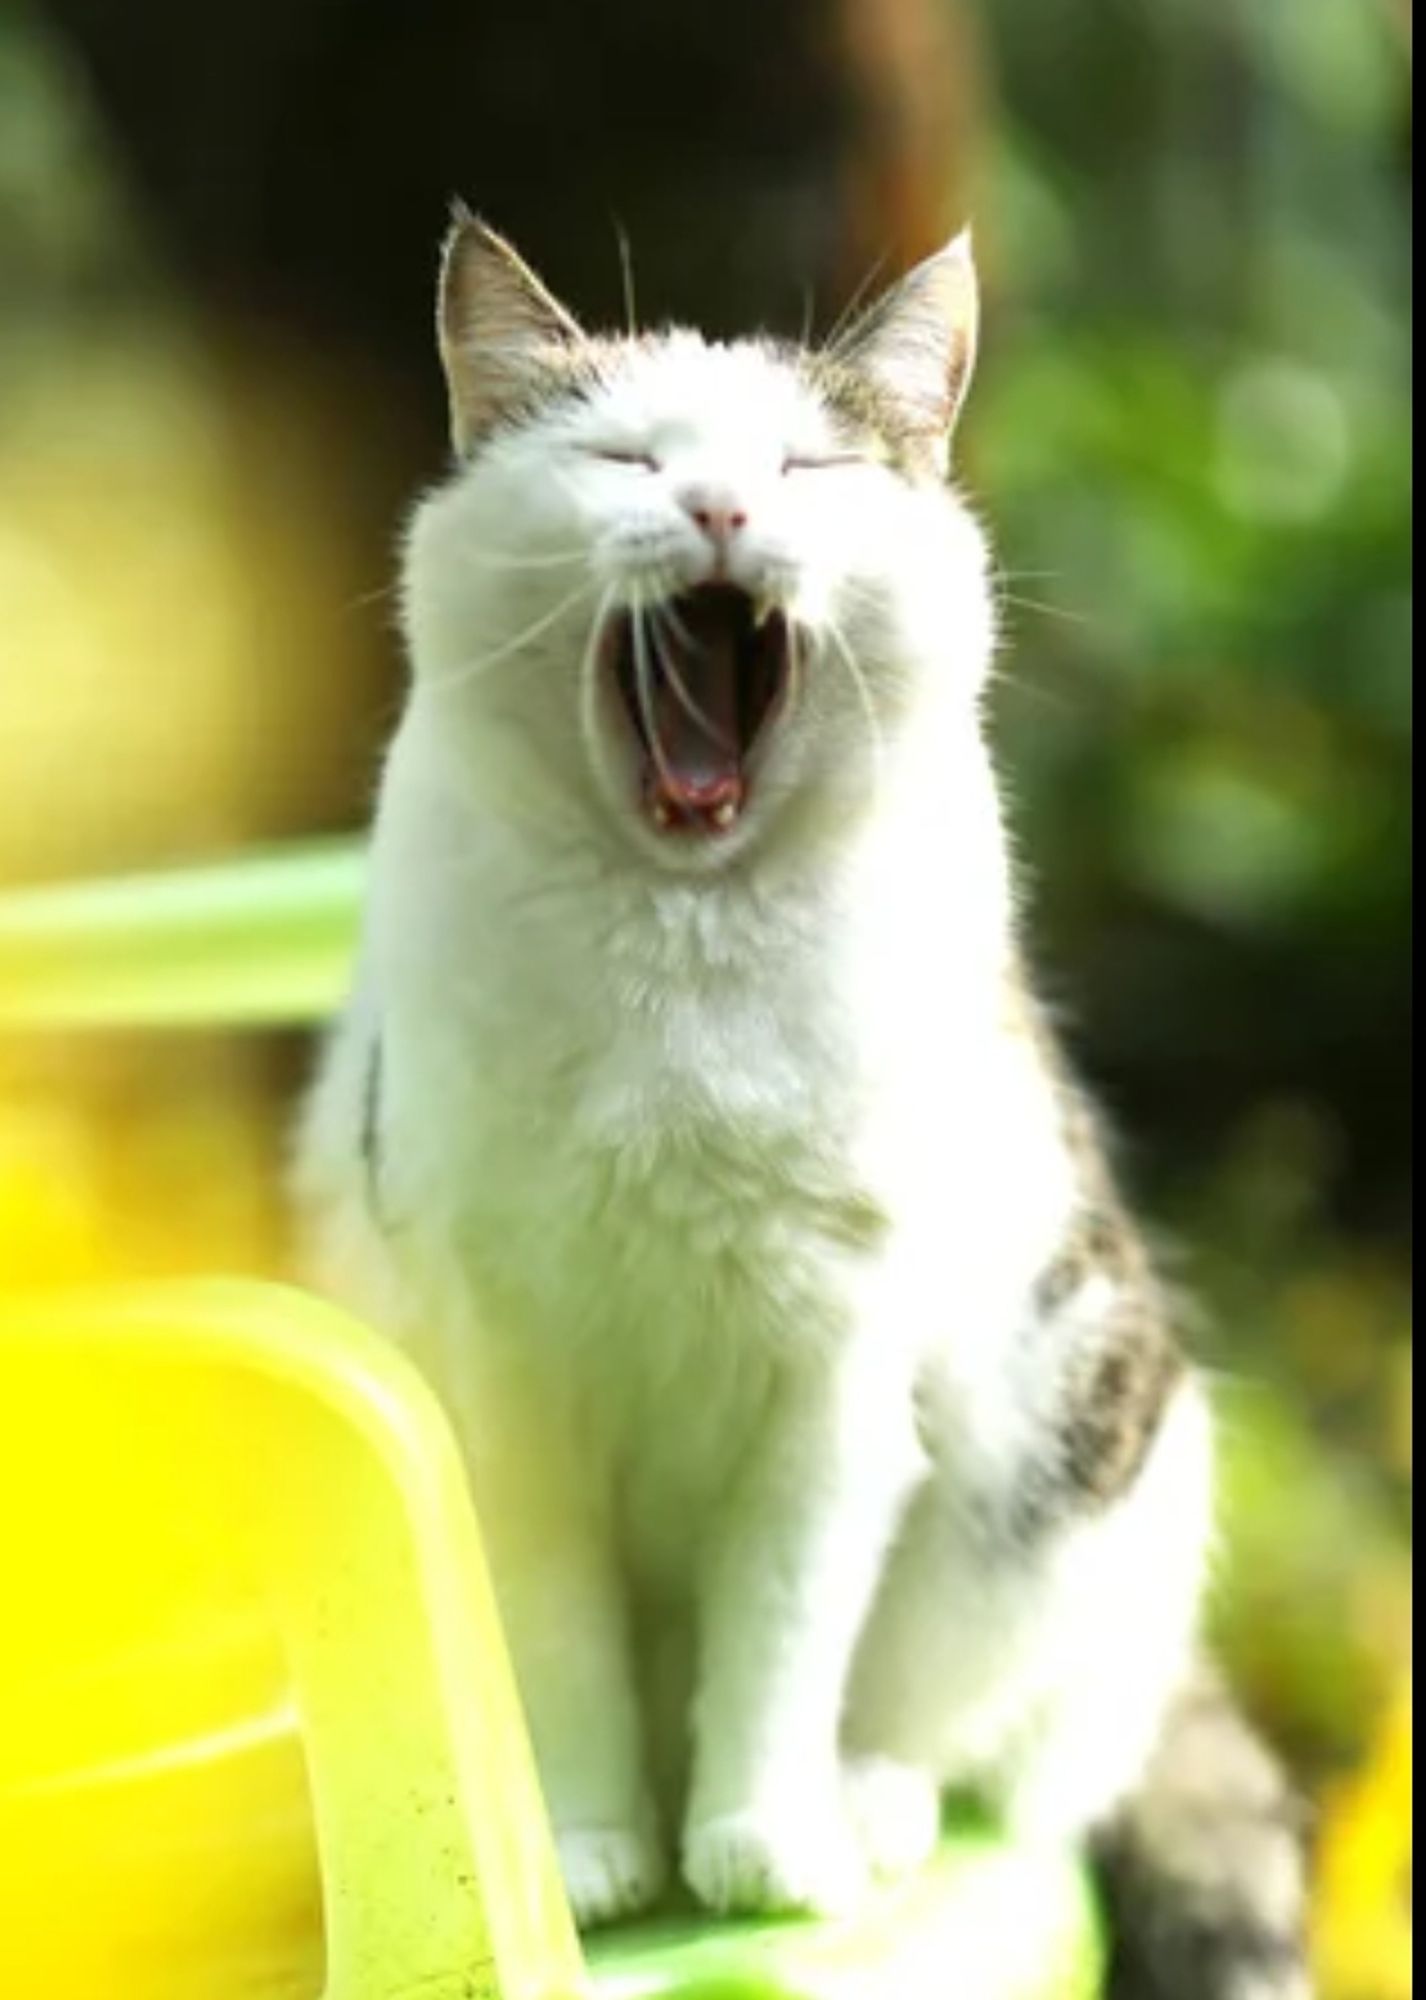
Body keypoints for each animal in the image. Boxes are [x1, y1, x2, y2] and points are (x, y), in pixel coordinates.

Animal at [292, 211, 1312, 1992]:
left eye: (807, 468)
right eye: (624, 457)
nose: (719, 511)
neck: (676, 941)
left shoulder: (831, 1379)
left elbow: (780, 1634)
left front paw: (760, 1854)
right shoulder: (507, 1371)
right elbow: (554, 1637)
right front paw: (587, 1854)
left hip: (1062, 1453)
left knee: (970, 1744)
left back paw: (866, 1809)